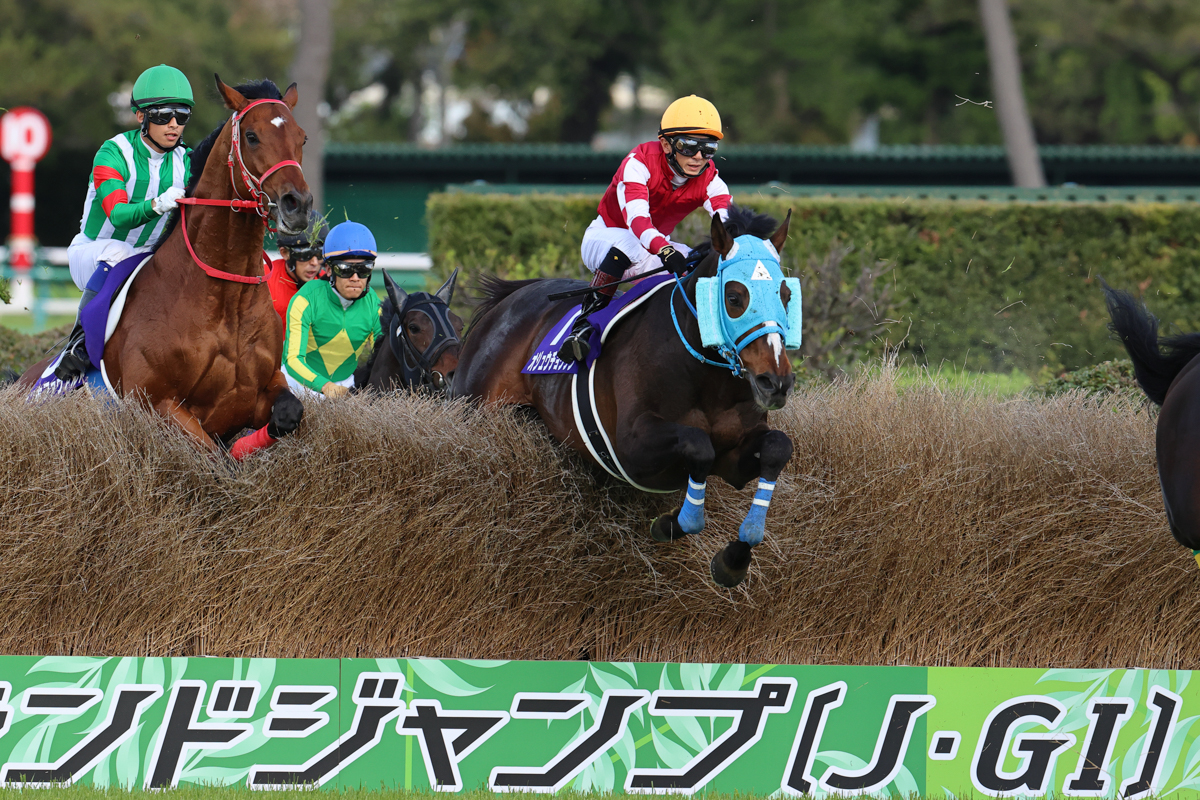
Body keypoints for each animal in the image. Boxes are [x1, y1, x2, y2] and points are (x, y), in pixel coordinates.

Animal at [19, 77, 309, 460]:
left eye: (302, 137)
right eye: (251, 136)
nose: (298, 205)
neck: (224, 299)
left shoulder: (259, 391)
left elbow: (288, 413)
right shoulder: (157, 405)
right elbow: (211, 456)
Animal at [453, 203, 801, 585]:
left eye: (786, 295)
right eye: (734, 297)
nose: (776, 382)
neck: (706, 377)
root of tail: (506, 301)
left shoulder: (735, 455)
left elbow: (778, 448)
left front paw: (734, 557)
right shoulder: (632, 448)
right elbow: (698, 445)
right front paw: (674, 523)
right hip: (474, 406)